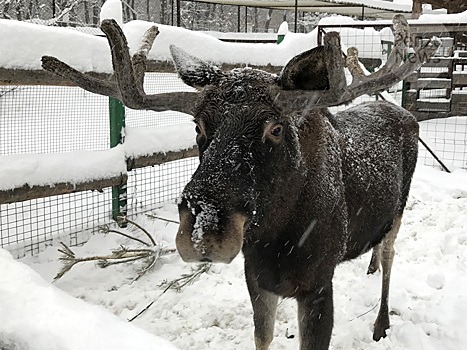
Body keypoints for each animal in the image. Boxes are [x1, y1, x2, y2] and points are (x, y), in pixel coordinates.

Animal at [42, 16, 440, 350]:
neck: (278, 238)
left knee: (390, 254)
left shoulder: (316, 285)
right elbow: (262, 338)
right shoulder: (257, 279)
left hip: (399, 211)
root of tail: (405, 112)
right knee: (378, 251)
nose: (204, 230)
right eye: (199, 126)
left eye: (275, 128)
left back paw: (381, 322)